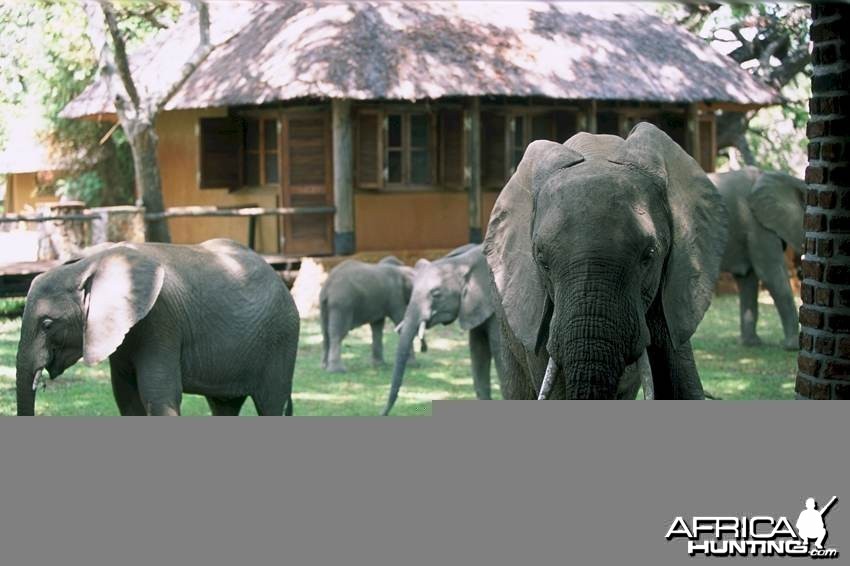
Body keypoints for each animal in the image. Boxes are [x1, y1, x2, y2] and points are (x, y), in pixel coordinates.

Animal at [14, 240, 302, 418]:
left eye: (48, 324)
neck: (89, 264)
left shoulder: (160, 322)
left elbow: (159, 396)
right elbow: (127, 399)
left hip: (281, 337)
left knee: (271, 403)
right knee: (224, 406)